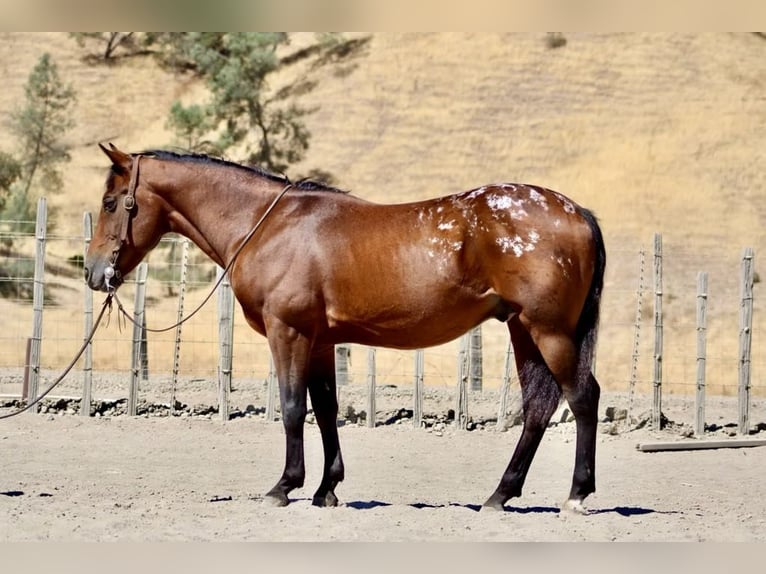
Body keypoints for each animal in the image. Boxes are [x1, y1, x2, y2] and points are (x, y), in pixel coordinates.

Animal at [84, 143, 606, 513]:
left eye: (111, 202)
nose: (94, 272)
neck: (267, 225)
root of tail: (577, 212)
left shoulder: (289, 332)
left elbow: (293, 409)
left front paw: (285, 486)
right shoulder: (319, 341)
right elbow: (326, 411)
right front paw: (326, 489)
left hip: (549, 331)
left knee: (582, 397)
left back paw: (577, 495)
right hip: (524, 330)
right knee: (538, 407)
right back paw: (500, 494)